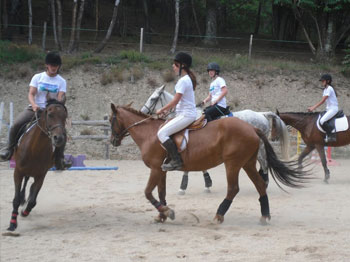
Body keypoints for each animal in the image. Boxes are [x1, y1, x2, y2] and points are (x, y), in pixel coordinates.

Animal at [5, 99, 67, 232]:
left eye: (65, 117)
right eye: (50, 115)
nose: (59, 138)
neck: (35, 148)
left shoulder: (41, 175)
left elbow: (33, 201)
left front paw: (24, 212)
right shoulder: (17, 172)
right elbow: (15, 200)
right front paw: (12, 224)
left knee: (30, 185)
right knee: (25, 182)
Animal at [110, 104, 308, 225]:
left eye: (111, 119)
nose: (113, 141)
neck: (150, 134)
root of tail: (252, 127)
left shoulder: (155, 169)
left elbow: (148, 192)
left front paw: (168, 212)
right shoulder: (161, 171)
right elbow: (160, 193)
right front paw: (162, 214)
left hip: (233, 163)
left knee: (234, 188)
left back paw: (219, 215)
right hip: (247, 163)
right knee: (259, 184)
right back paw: (264, 216)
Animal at [140, 86, 290, 194]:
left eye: (153, 99)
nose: (143, 111)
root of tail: (261, 114)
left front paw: (184, 186)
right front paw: (207, 183)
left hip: (259, 148)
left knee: (264, 164)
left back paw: (264, 184)